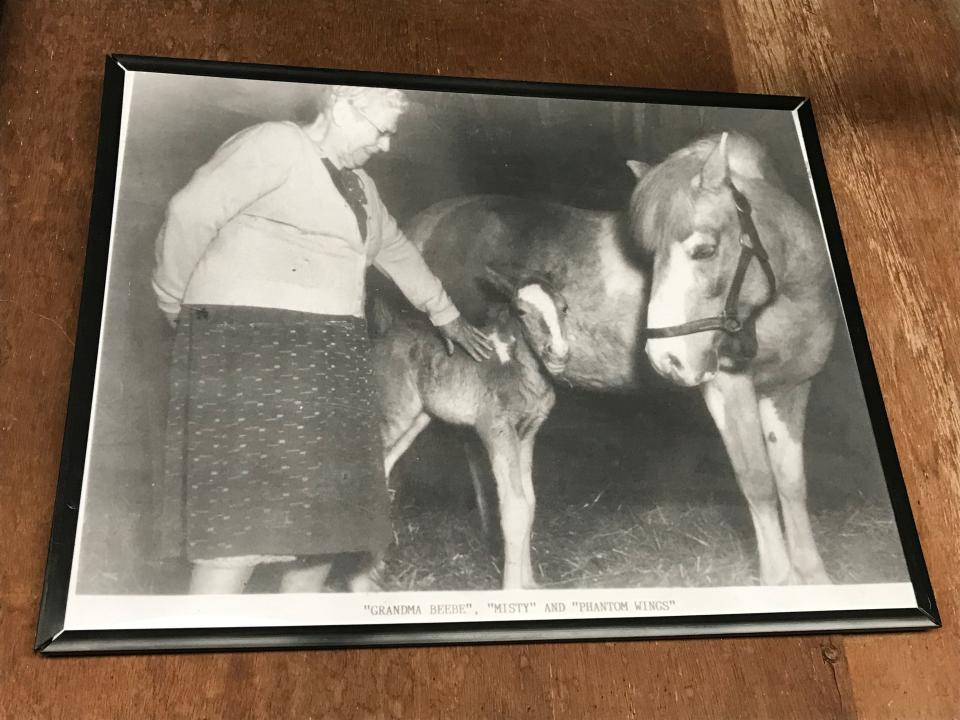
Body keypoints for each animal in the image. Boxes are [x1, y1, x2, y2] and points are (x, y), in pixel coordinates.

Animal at [374, 268, 568, 588]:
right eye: (521, 311)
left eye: (564, 307)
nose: (558, 354)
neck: (516, 366)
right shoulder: (495, 428)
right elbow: (514, 508)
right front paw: (511, 589)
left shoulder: (527, 433)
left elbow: (530, 503)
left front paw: (529, 583)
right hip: (395, 411)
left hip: (417, 419)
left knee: (386, 466)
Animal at [402, 134, 836, 584]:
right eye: (650, 256)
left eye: (704, 250)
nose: (666, 358)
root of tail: (426, 225)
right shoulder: (728, 385)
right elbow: (758, 481)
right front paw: (780, 580)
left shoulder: (790, 389)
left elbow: (791, 482)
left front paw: (814, 575)